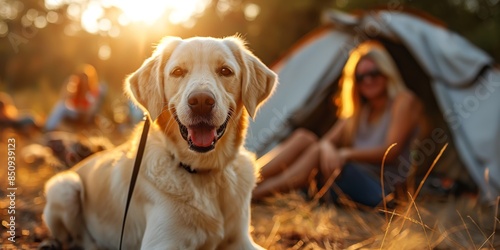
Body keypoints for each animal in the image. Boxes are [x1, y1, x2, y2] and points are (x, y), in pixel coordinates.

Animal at [42, 35, 278, 250]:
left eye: (225, 71)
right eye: (178, 72)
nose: (201, 101)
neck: (204, 172)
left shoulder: (242, 240)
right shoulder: (161, 243)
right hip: (64, 186)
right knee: (76, 239)